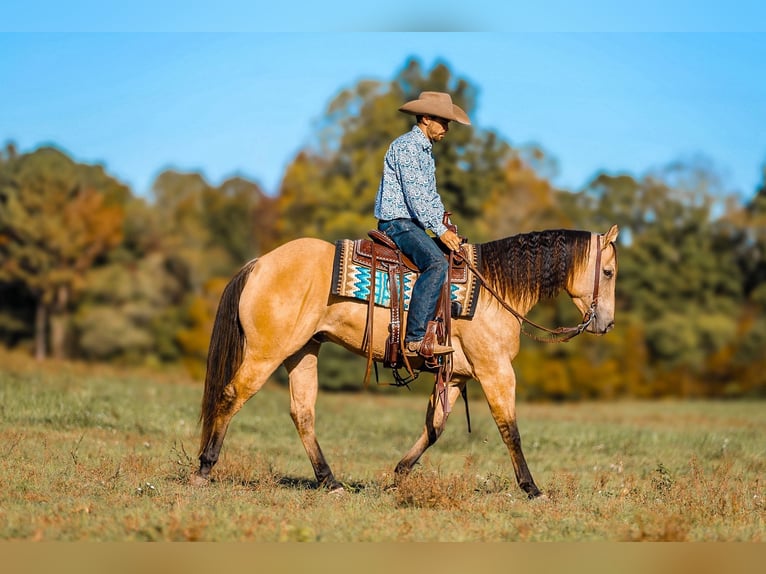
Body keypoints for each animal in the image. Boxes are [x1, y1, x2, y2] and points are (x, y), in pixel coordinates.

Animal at [195, 225, 620, 500]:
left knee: (302, 413)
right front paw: (532, 489)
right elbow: (509, 429)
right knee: (231, 395)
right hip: (266, 352)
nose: (607, 323)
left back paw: (331, 482)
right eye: (608, 271)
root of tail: (259, 263)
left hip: (302, 351)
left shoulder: (457, 375)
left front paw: (397, 475)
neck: (493, 289)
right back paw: (204, 469)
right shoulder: (495, 370)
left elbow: (435, 428)